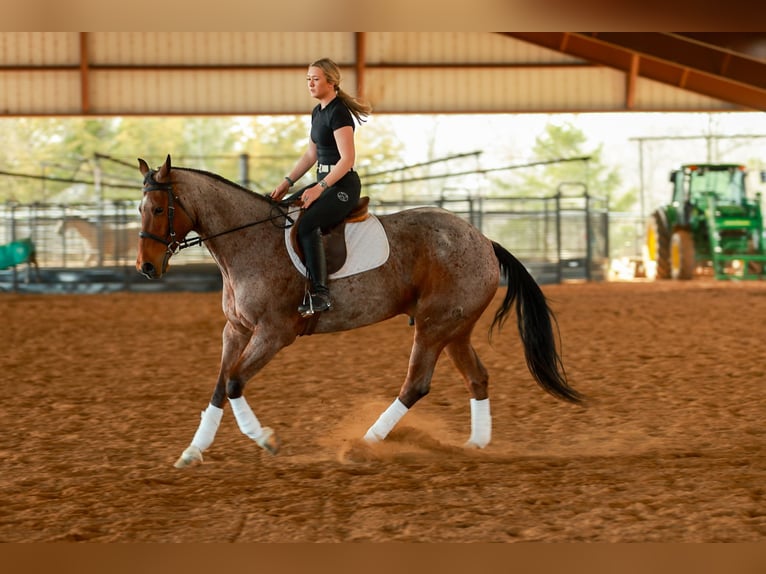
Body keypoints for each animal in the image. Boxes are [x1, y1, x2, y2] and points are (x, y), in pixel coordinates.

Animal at [135, 155, 583, 468]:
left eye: (158, 209)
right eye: (139, 209)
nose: (146, 268)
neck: (248, 242)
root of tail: (483, 239)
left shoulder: (274, 333)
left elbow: (233, 383)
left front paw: (266, 440)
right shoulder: (236, 330)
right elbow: (219, 385)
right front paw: (193, 451)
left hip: (433, 326)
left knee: (415, 385)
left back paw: (362, 445)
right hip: (455, 328)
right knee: (477, 377)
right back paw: (475, 445)